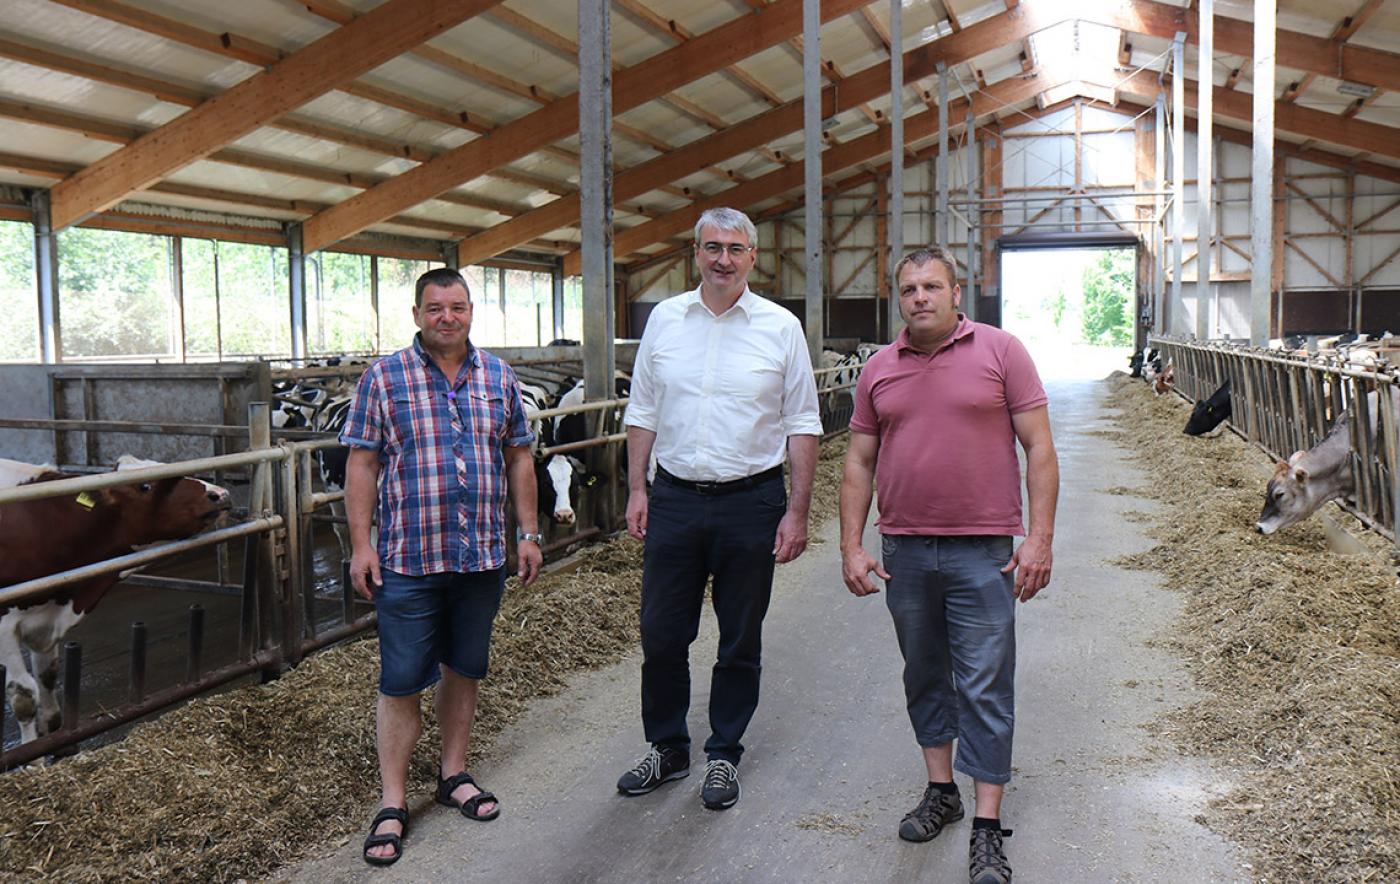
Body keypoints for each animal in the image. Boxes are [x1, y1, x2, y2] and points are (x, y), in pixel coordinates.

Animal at [0, 459, 231, 743]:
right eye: (145, 486)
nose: (219, 493)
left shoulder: (45, 619)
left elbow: (48, 680)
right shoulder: (4, 624)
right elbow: (23, 696)